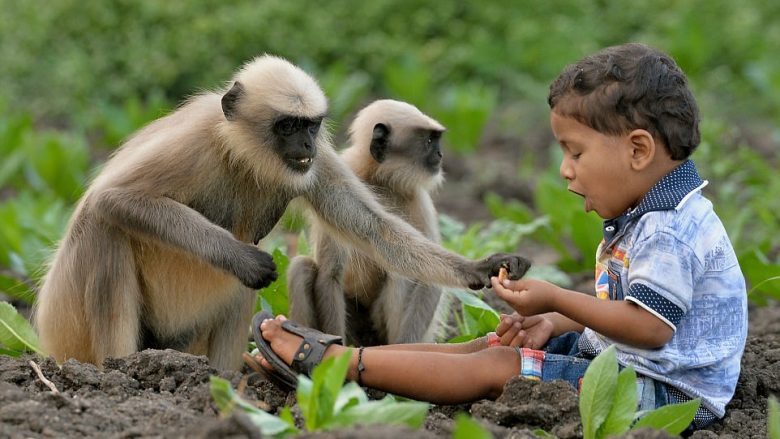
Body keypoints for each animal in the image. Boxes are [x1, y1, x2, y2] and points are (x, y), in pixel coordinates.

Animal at [290, 101, 454, 346]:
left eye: (436, 140)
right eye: (429, 141)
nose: (440, 155)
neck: (379, 179)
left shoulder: (419, 199)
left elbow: (429, 277)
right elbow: (330, 273)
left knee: (402, 273)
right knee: (301, 267)